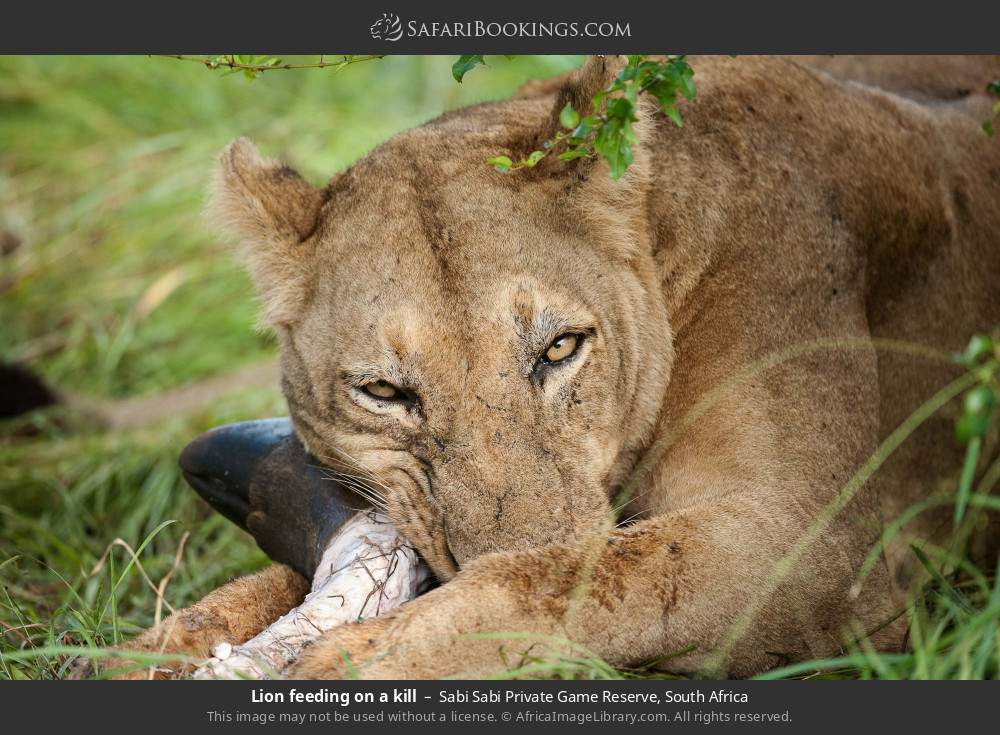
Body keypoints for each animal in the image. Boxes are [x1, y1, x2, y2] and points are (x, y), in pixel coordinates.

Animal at [103, 55, 1000, 679]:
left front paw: (352, 659)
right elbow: (249, 592)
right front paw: (143, 651)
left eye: (560, 348)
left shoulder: (820, 546)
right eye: (385, 392)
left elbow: (572, 577)